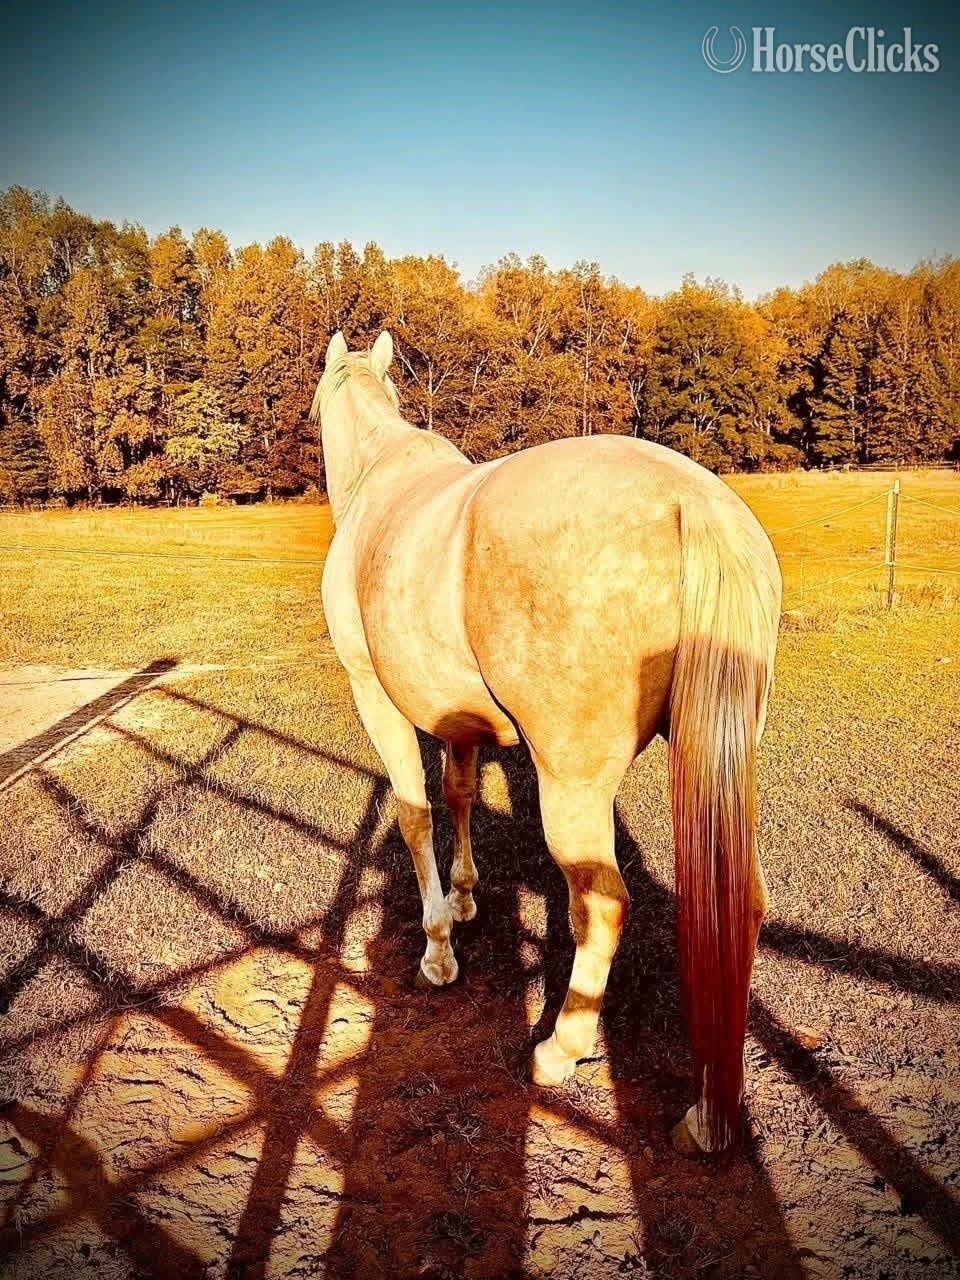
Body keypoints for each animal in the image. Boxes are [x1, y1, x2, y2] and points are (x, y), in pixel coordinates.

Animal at [311, 330, 782, 1153]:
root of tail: (696, 501)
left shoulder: (377, 696)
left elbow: (414, 814)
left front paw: (439, 948)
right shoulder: (460, 719)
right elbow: (460, 795)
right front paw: (466, 897)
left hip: (571, 787)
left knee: (605, 902)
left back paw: (563, 1047)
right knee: (740, 902)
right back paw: (711, 1108)